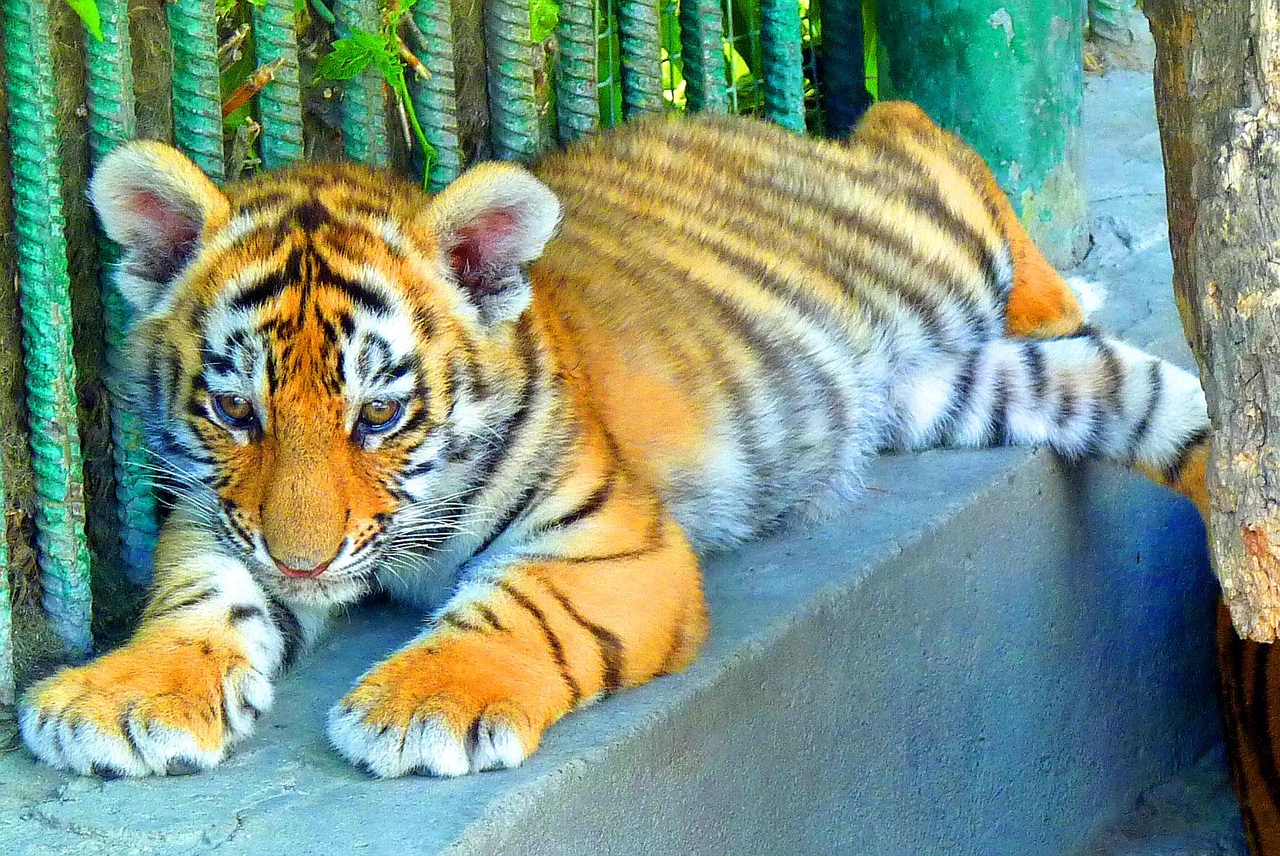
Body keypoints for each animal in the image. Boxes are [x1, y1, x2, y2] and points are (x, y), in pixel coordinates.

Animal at [18, 101, 1211, 779]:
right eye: (235, 413)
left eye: (380, 416)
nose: (303, 564)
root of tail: (761, 126)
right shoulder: (220, 521)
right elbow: (198, 596)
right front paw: (123, 698)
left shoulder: (608, 537)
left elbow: (519, 610)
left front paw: (421, 706)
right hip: (962, 389)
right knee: (1153, 402)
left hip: (928, 248)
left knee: (916, 127)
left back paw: (1059, 287)